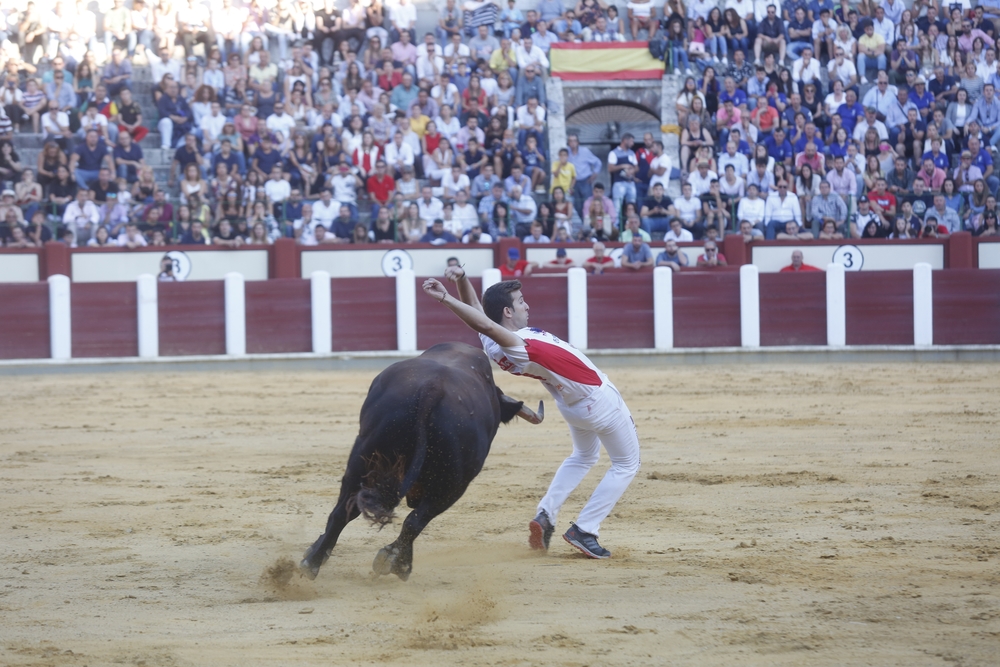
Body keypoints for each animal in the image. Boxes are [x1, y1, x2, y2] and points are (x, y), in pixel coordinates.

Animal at [300, 344, 544, 580]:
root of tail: (432, 389)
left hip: (362, 456)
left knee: (344, 510)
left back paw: (312, 561)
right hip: (454, 483)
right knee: (415, 519)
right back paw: (397, 564)